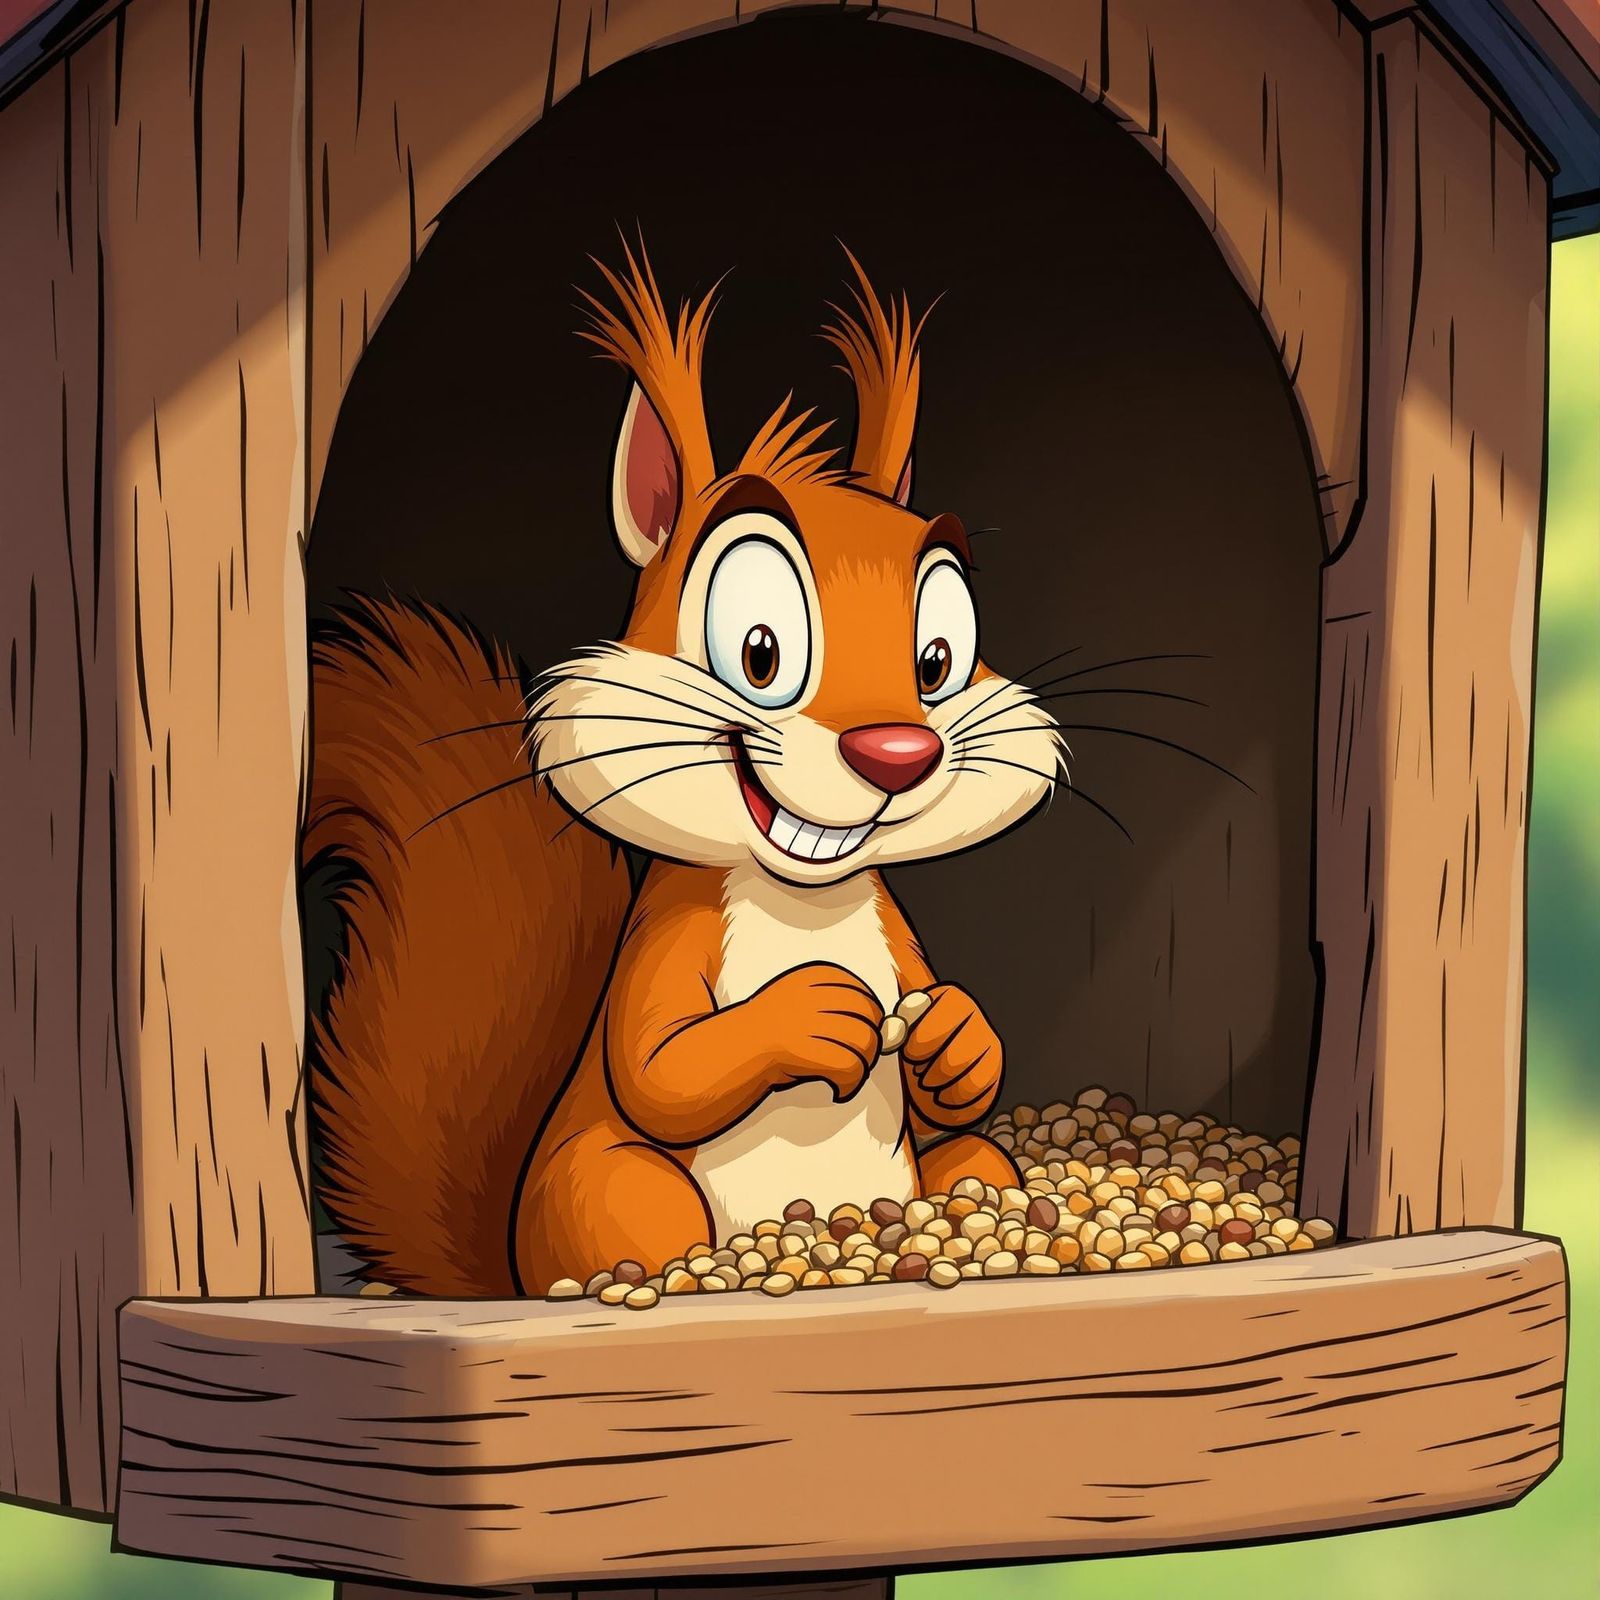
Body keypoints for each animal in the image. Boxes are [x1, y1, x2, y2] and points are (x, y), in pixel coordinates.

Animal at [304, 245, 1065, 1297]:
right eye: (759, 649)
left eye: (940, 655)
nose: (897, 755)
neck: (805, 901)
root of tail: (507, 1276)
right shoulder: (669, 933)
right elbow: (660, 1069)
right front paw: (810, 1014)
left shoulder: (896, 934)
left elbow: (948, 1075)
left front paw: (955, 1034)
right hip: (606, 1188)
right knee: (636, 1211)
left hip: (959, 1170)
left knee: (974, 1159)